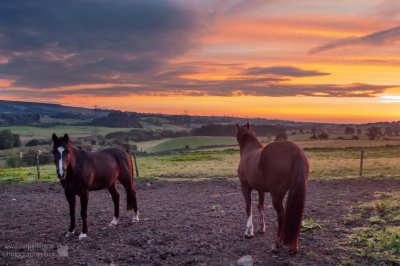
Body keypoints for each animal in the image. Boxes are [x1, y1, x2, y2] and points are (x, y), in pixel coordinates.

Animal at [238, 123, 310, 254]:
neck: (249, 151)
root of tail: (295, 151)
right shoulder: (261, 189)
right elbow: (260, 207)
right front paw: (262, 228)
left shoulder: (245, 187)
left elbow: (248, 208)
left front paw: (249, 231)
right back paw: (294, 246)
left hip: (276, 196)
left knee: (281, 215)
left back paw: (277, 244)